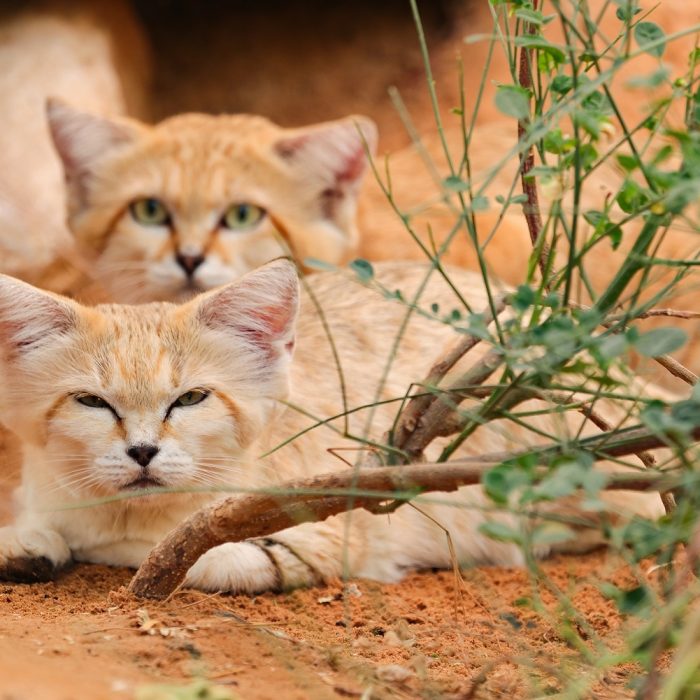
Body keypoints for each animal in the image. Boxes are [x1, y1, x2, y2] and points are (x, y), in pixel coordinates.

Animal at [0, 260, 660, 588]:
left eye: (190, 399)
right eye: (92, 402)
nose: (141, 451)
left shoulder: (322, 536)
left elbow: (184, 554)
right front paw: (29, 540)